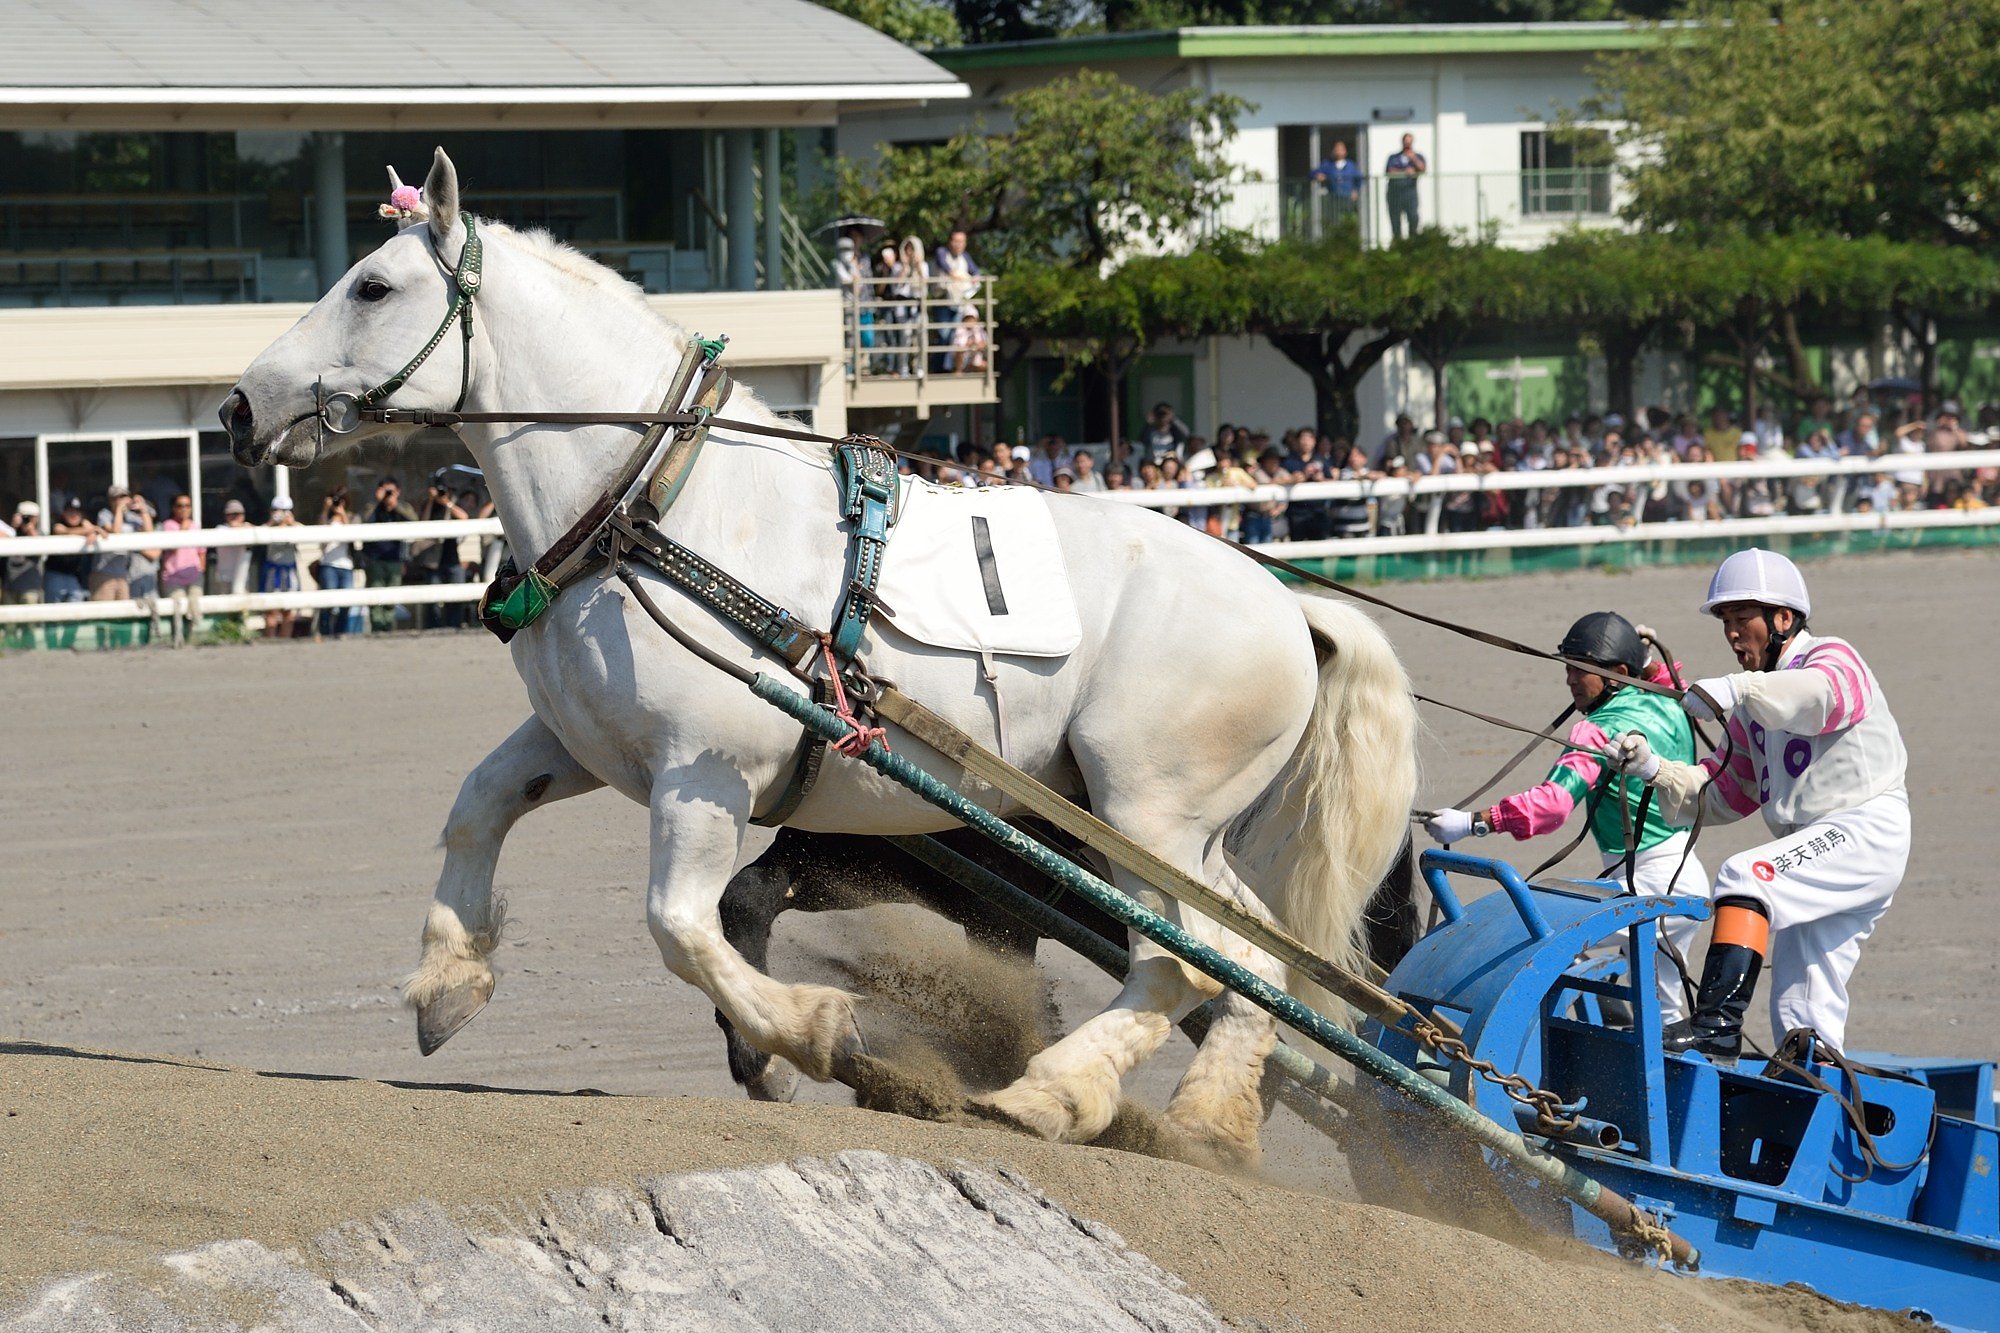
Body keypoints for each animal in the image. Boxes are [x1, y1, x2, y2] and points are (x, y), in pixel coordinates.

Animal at [221, 148, 1418, 1164]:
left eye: (373, 287)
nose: (237, 405)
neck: (663, 506)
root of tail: (1287, 604)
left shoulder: (702, 775)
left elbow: (681, 925)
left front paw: (814, 1033)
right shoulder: (590, 743)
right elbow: (478, 806)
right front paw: (446, 978)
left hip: (1147, 815)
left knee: (1182, 959)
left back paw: (1047, 1093)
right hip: (1167, 832)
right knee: (1254, 963)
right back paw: (1203, 1118)